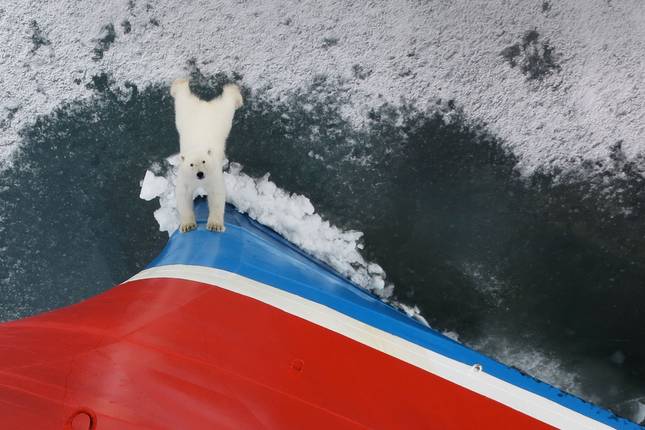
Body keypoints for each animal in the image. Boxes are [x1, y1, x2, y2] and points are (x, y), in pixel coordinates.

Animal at [170, 78, 243, 233]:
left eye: (204, 161)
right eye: (191, 164)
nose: (200, 174)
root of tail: (205, 105)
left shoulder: (213, 174)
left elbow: (216, 195)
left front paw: (215, 225)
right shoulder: (185, 176)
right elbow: (183, 195)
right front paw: (188, 225)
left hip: (222, 116)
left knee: (228, 103)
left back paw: (234, 93)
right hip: (185, 113)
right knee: (182, 98)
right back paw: (179, 84)